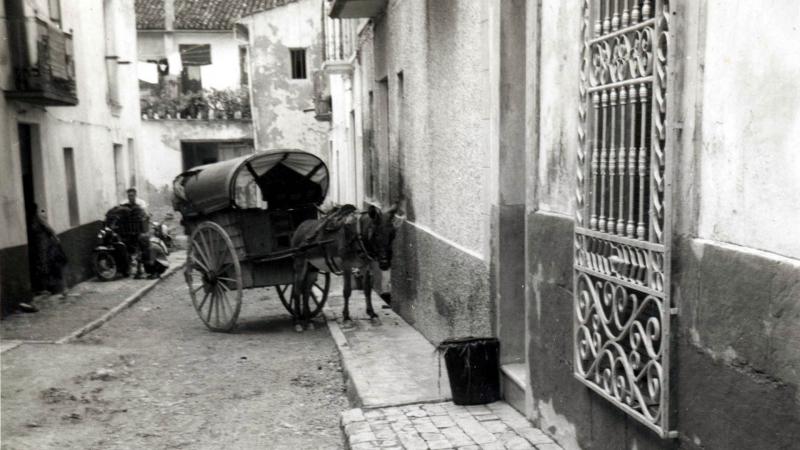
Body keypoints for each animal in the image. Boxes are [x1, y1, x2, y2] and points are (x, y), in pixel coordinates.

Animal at [288, 200, 404, 330]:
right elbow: (347, 291)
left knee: (306, 291)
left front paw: (372, 315)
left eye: (393, 234)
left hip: (312, 268)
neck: (358, 235)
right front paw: (347, 318)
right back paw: (298, 322)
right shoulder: (346, 265)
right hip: (300, 263)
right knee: (297, 290)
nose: (385, 263)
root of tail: (300, 226)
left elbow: (367, 289)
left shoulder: (364, 265)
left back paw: (308, 321)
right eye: (376, 234)